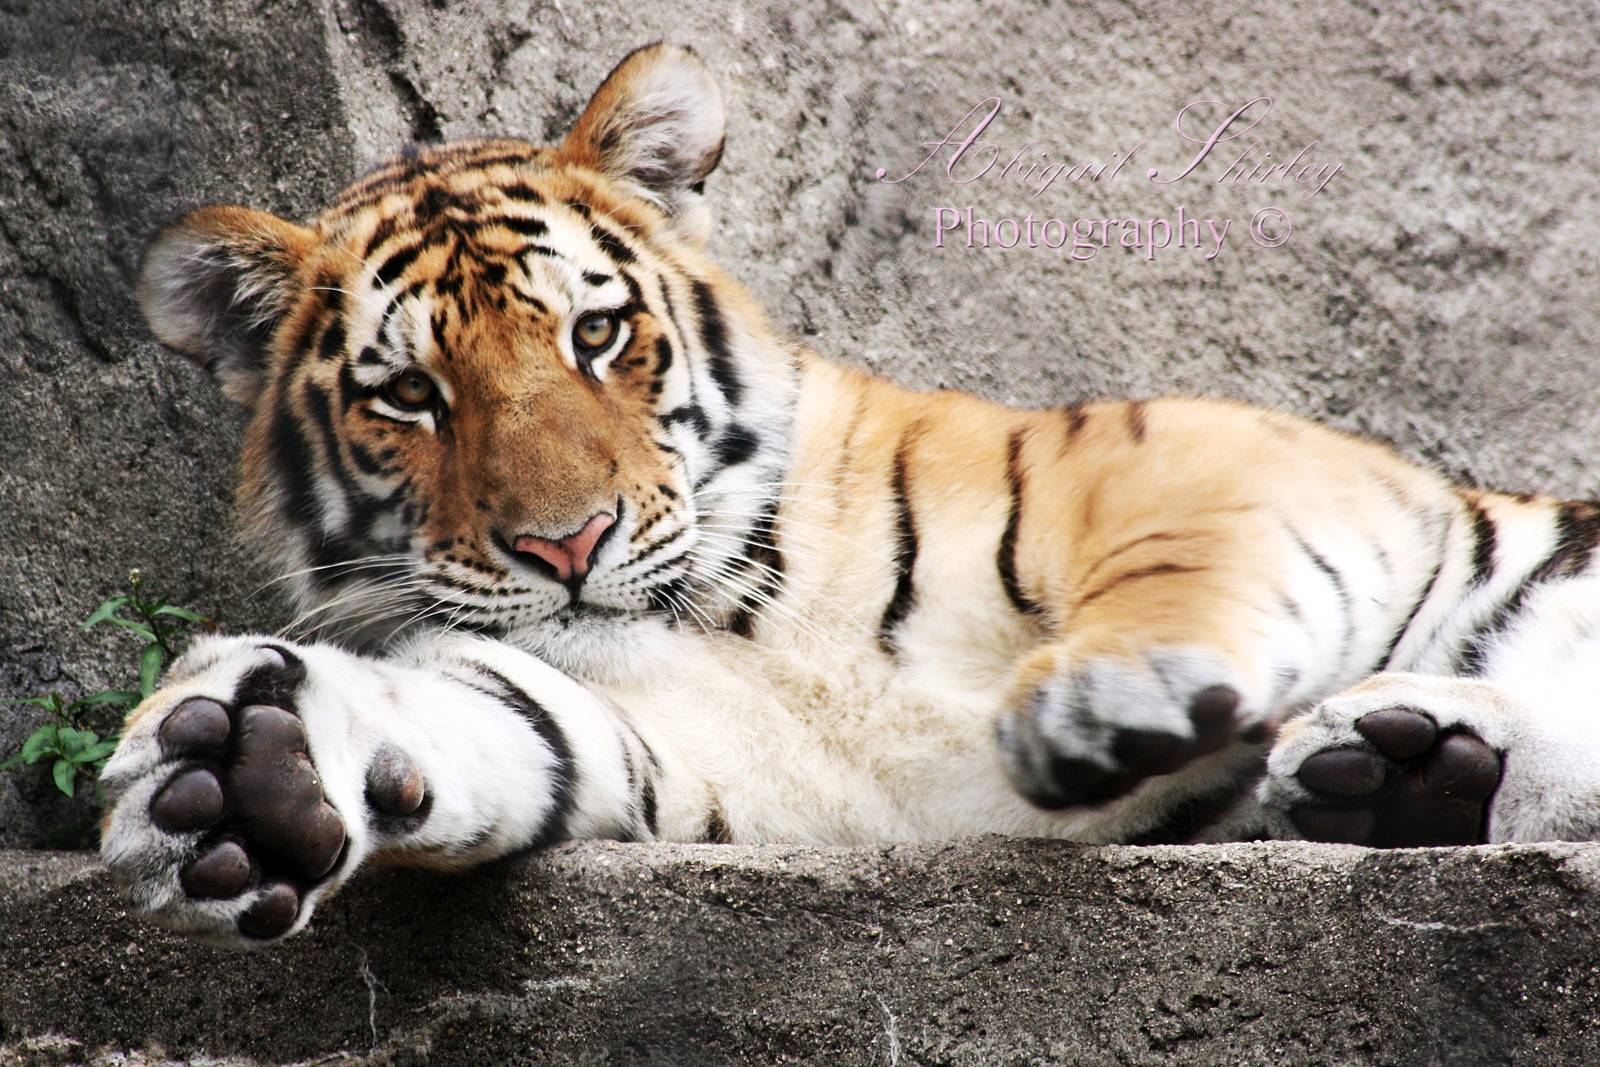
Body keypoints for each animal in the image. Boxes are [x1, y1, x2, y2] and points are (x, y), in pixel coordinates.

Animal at [100, 42, 1600, 949]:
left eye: (595, 333)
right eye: (410, 395)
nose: (567, 543)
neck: (741, 607)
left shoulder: (1201, 448)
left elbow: (1178, 561)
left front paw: (1096, 700)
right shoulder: (701, 751)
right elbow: (499, 716)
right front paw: (250, 777)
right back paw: (1405, 767)